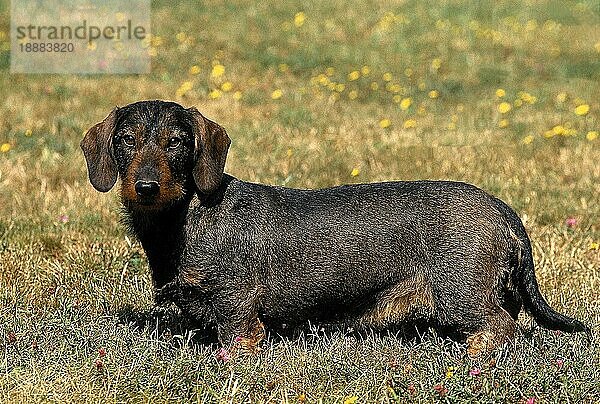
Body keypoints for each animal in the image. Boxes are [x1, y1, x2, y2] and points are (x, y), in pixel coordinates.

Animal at [82, 99, 588, 356]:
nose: (146, 186)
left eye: (178, 142)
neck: (186, 217)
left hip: (460, 296)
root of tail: (500, 206)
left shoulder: (236, 303)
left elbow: (236, 339)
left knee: (502, 327)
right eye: (125, 140)